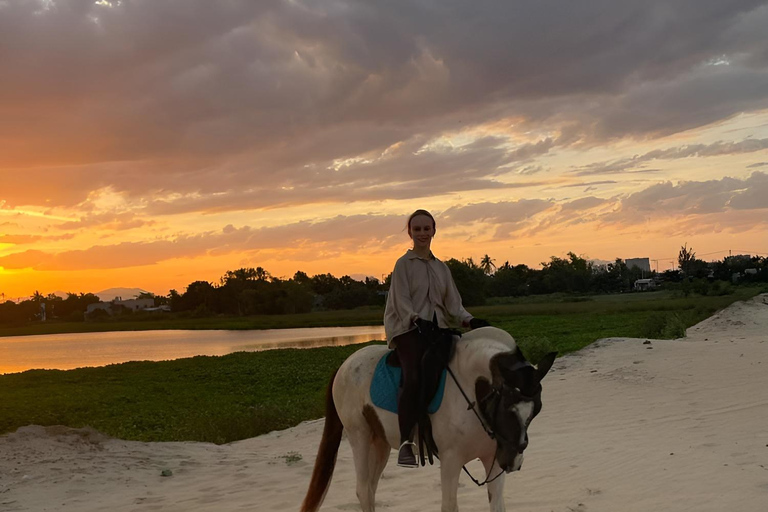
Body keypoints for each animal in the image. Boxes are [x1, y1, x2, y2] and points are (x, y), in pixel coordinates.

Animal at [296, 328, 556, 512]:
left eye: (536, 410)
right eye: (507, 408)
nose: (513, 462)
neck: (471, 390)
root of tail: (344, 365)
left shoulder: (492, 459)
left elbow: (497, 505)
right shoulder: (451, 461)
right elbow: (449, 506)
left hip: (378, 443)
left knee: (370, 488)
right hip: (358, 435)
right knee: (363, 490)